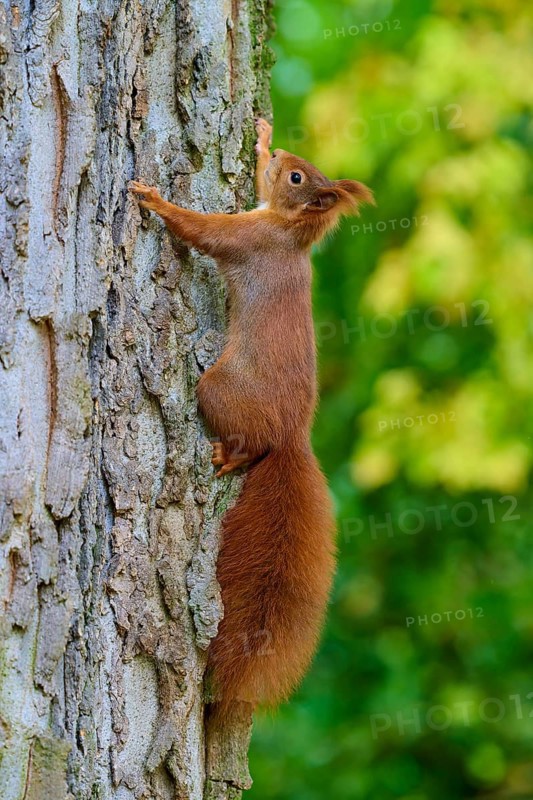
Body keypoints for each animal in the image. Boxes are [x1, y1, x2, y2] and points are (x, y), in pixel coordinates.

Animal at [129, 118, 374, 719]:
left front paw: (155, 200)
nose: (282, 151)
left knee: (248, 445)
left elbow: (203, 231)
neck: (289, 232)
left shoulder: (246, 238)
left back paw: (228, 456)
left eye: (297, 177)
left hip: (219, 388)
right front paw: (262, 136)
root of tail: (292, 437)